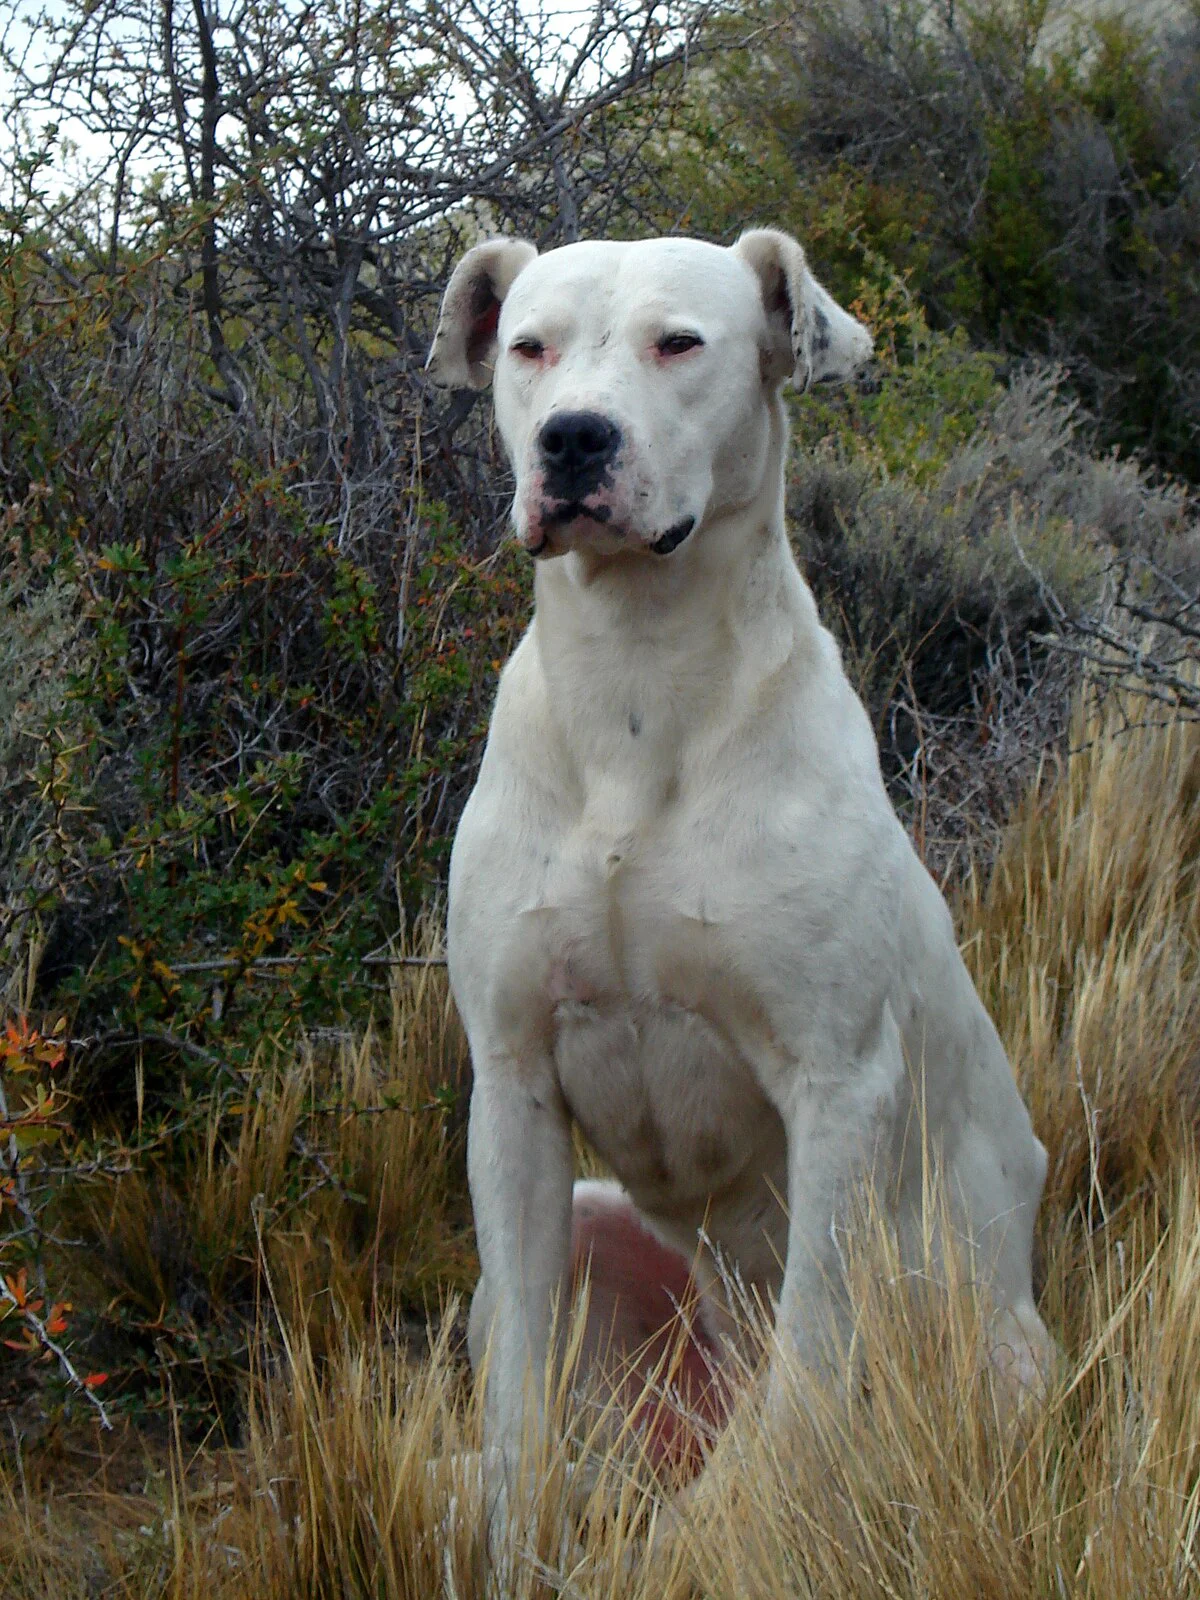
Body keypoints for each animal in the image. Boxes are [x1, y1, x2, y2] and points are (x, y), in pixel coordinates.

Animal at [428, 225, 1049, 1484]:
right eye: (530, 346)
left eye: (681, 343)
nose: (574, 438)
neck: (637, 685)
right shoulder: (513, 1082)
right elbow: (517, 1399)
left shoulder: (838, 1082)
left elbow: (807, 1372)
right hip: (595, 1228)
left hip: (1005, 1357)